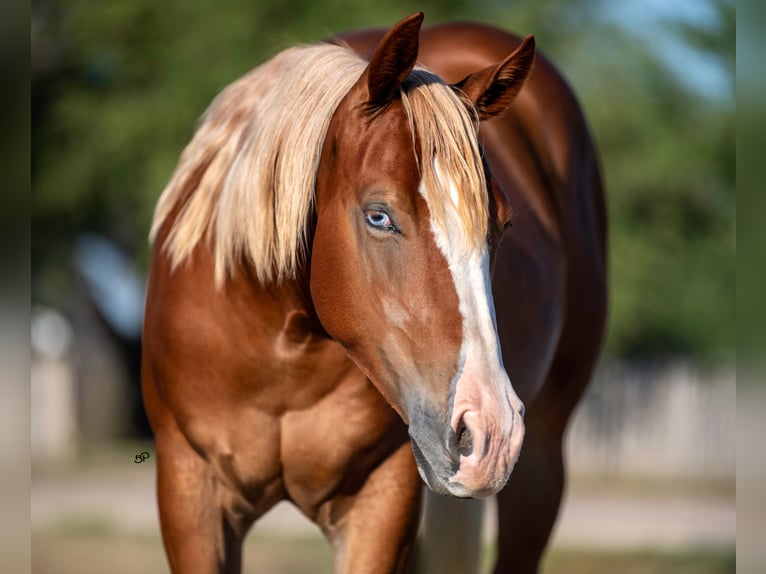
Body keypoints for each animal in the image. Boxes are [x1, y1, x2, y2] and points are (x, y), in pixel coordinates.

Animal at [142, 12, 606, 574]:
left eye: (504, 224)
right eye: (378, 216)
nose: (490, 429)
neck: (280, 343)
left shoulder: (382, 500)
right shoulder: (190, 490)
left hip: (540, 464)